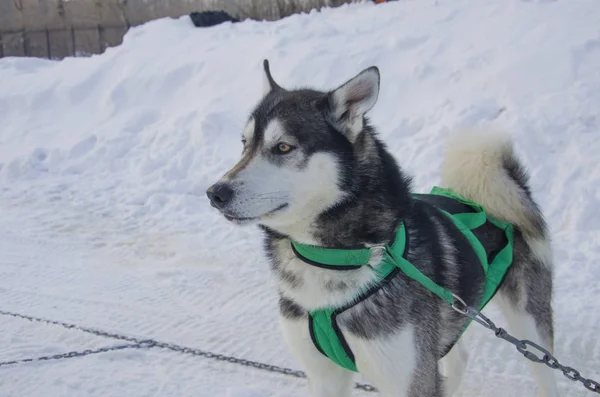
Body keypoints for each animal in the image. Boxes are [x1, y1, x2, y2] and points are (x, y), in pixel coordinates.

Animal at [209, 59, 560, 396]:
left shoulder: (409, 378)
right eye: (244, 144)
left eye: (283, 147)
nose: (215, 193)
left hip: (529, 328)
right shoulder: (325, 377)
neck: (333, 256)